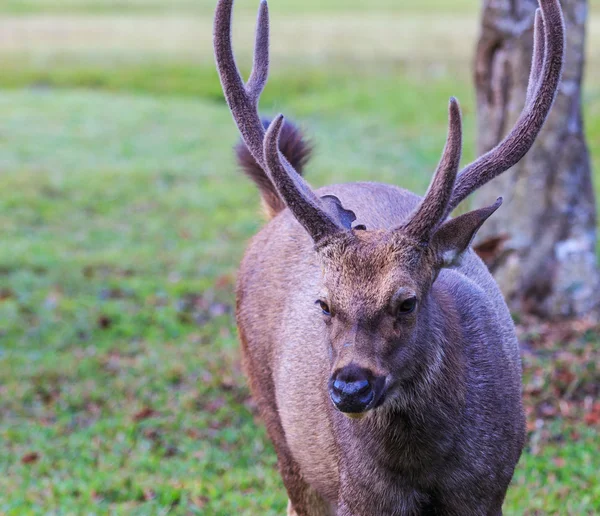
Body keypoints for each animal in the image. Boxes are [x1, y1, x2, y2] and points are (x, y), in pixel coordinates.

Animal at [213, 1, 564, 512]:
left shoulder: (488, 488)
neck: (425, 469)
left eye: (407, 301)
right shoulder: (358, 495)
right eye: (323, 302)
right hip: (278, 426)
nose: (350, 386)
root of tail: (277, 209)